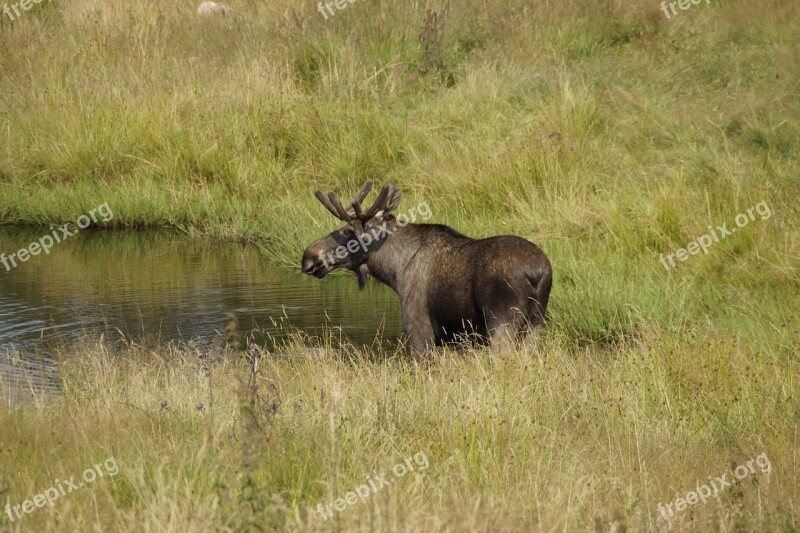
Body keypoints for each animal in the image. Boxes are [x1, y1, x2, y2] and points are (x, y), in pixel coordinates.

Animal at [300, 182, 552, 354]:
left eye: (348, 231)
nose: (308, 257)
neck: (394, 270)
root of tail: (537, 274)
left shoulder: (418, 329)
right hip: (535, 323)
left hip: (502, 322)